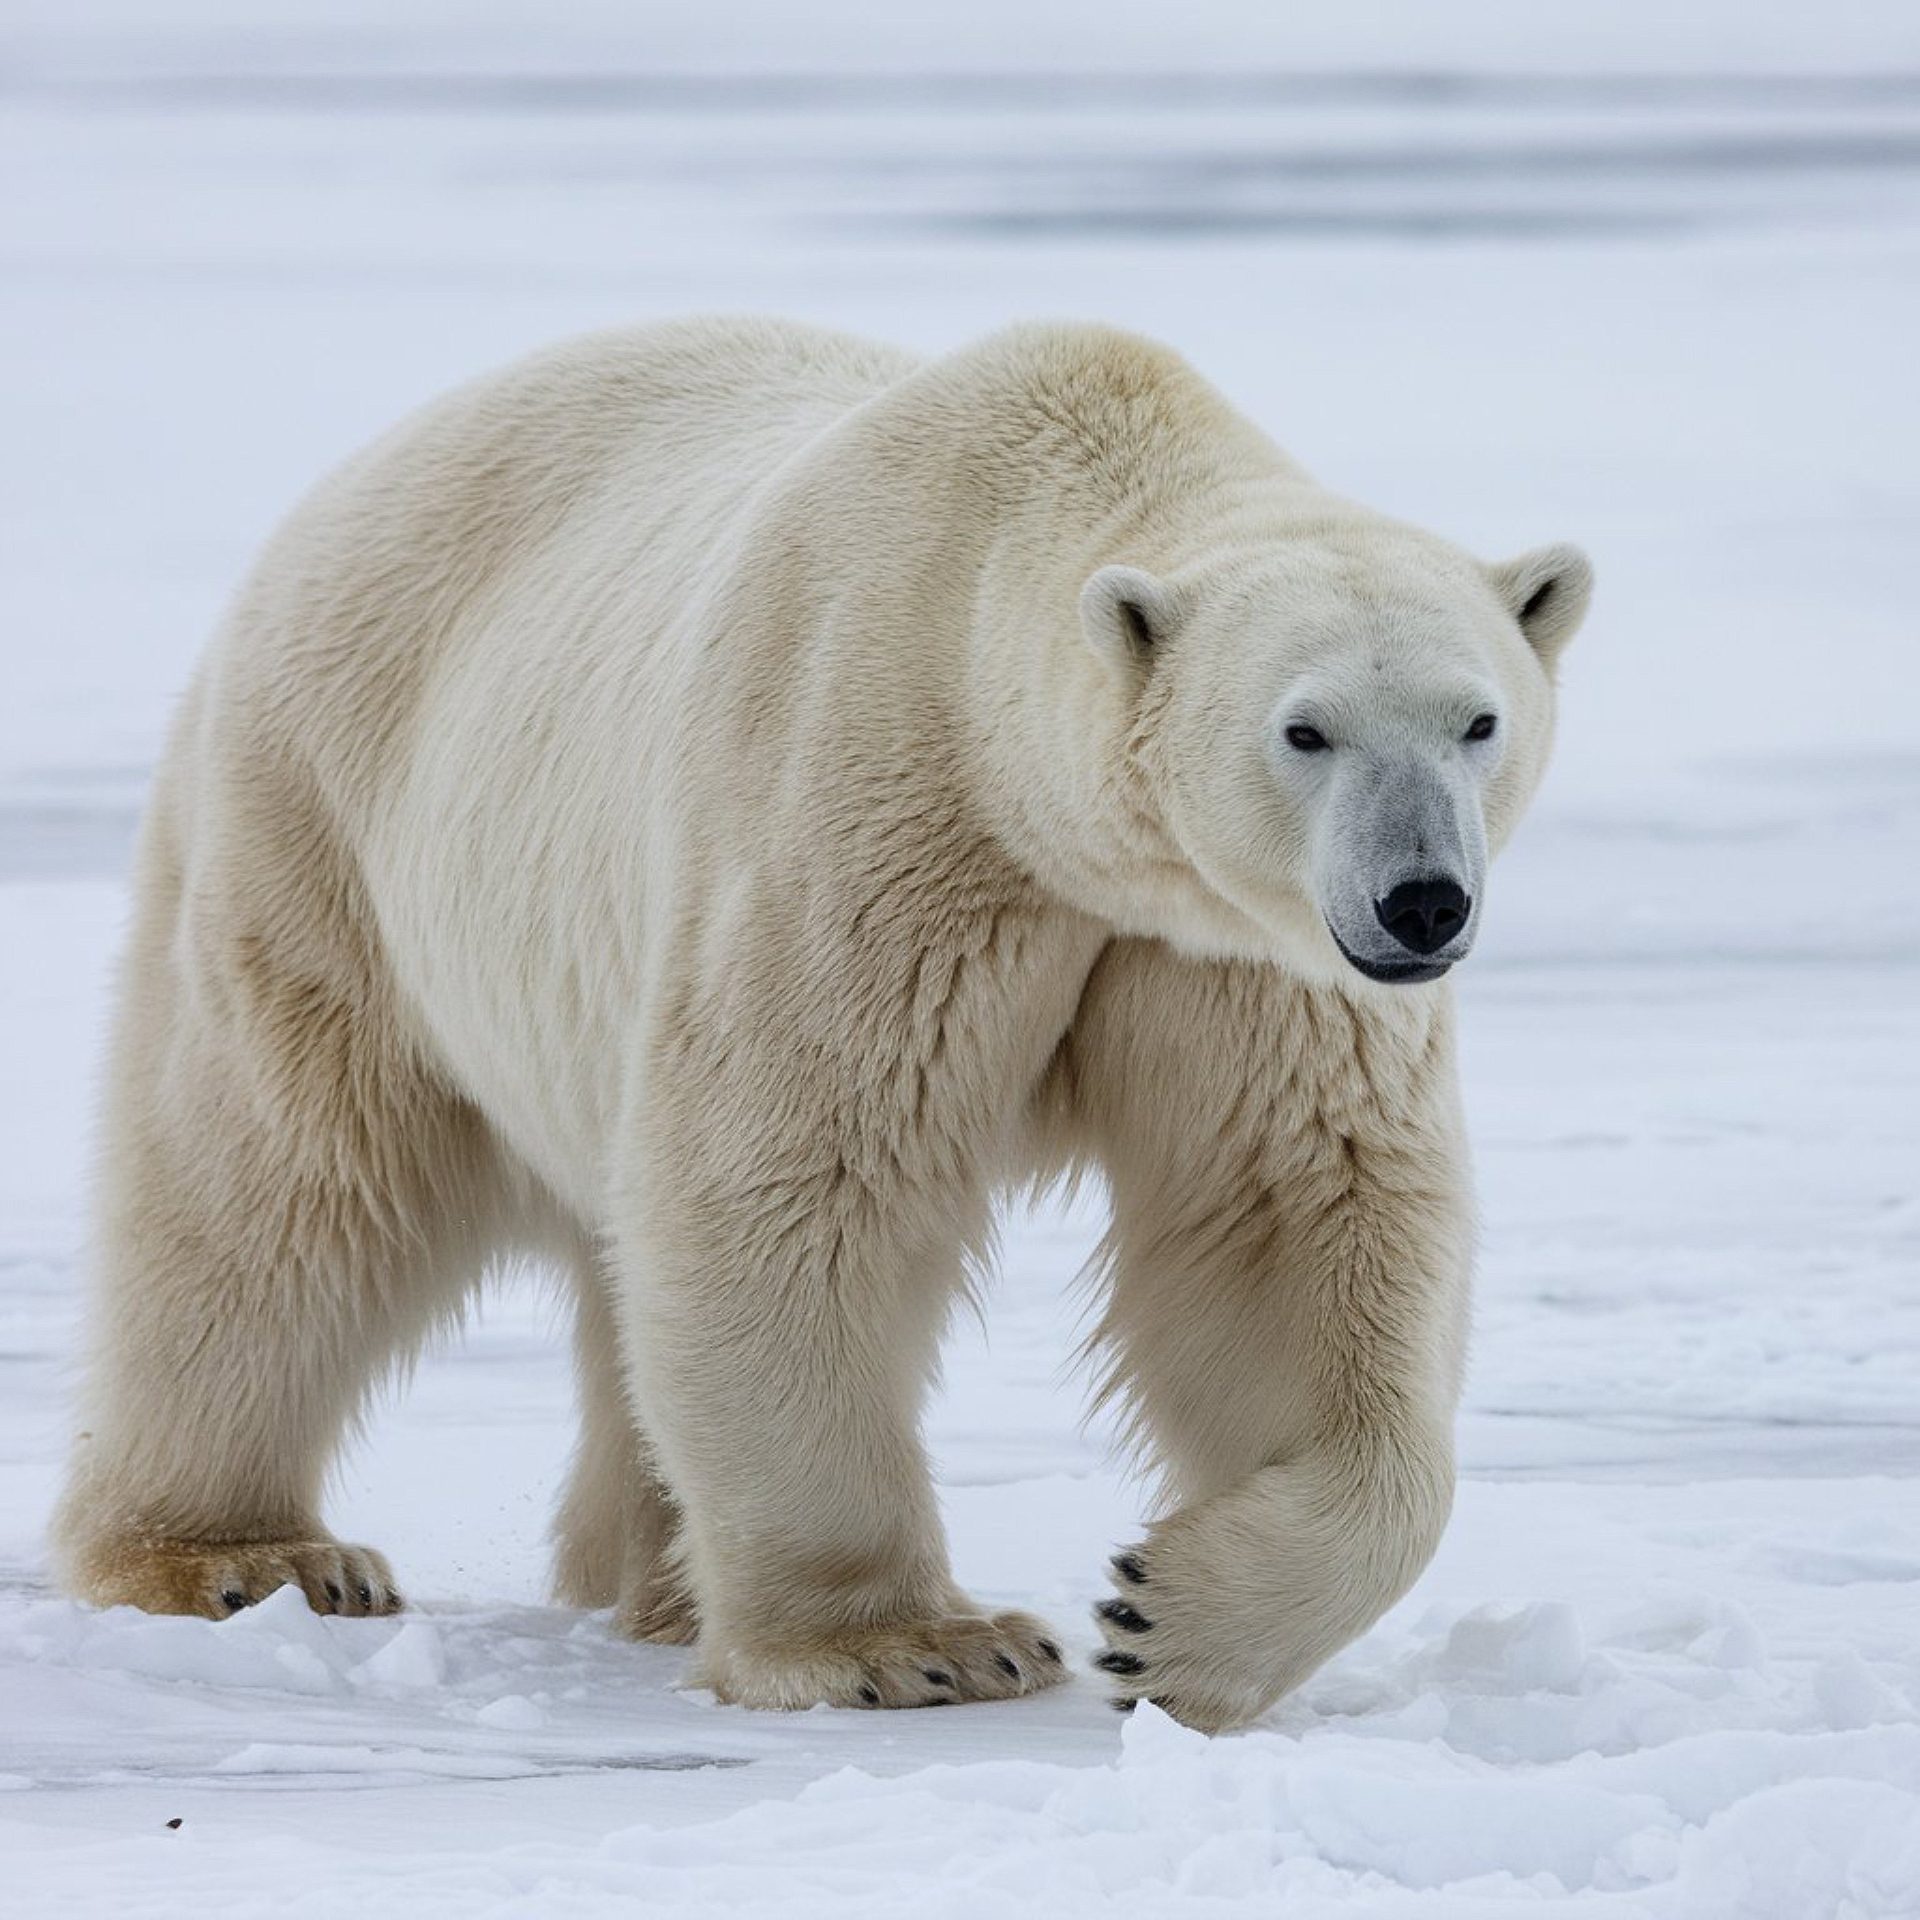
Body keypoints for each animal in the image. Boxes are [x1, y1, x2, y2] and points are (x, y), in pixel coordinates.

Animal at [51, 317, 1591, 1732]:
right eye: (1303, 730)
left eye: (1478, 721)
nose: (1420, 903)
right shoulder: (868, 816)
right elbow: (794, 1178)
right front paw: (918, 1647)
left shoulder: (1225, 951)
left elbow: (1296, 1214)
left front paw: (1177, 1626)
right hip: (322, 826)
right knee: (281, 1187)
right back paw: (245, 1556)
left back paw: (655, 1579)